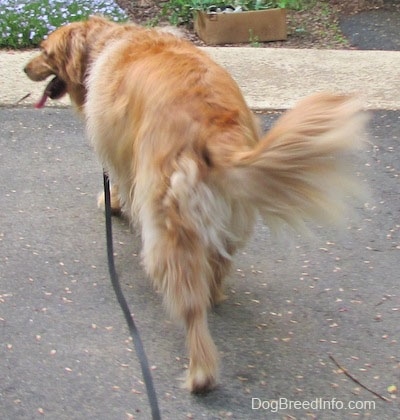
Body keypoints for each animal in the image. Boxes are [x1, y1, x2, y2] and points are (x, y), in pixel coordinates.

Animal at [25, 15, 368, 390]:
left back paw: (200, 374)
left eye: (44, 51)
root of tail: (216, 130)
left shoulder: (118, 152)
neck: (107, 42)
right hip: (227, 217)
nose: (25, 68)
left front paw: (111, 203)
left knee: (190, 309)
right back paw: (214, 296)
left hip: (171, 228)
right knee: (216, 266)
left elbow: (118, 181)